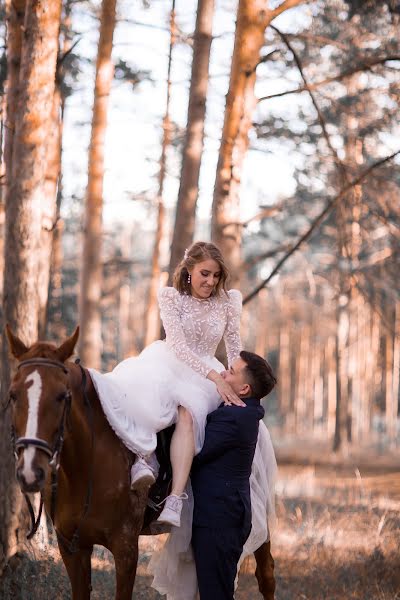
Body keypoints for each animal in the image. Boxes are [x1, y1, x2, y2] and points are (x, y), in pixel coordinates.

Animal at [6, 326, 276, 600]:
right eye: (13, 395)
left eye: (62, 396)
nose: (30, 472)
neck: (85, 466)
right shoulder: (72, 547)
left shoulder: (125, 547)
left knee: (266, 575)